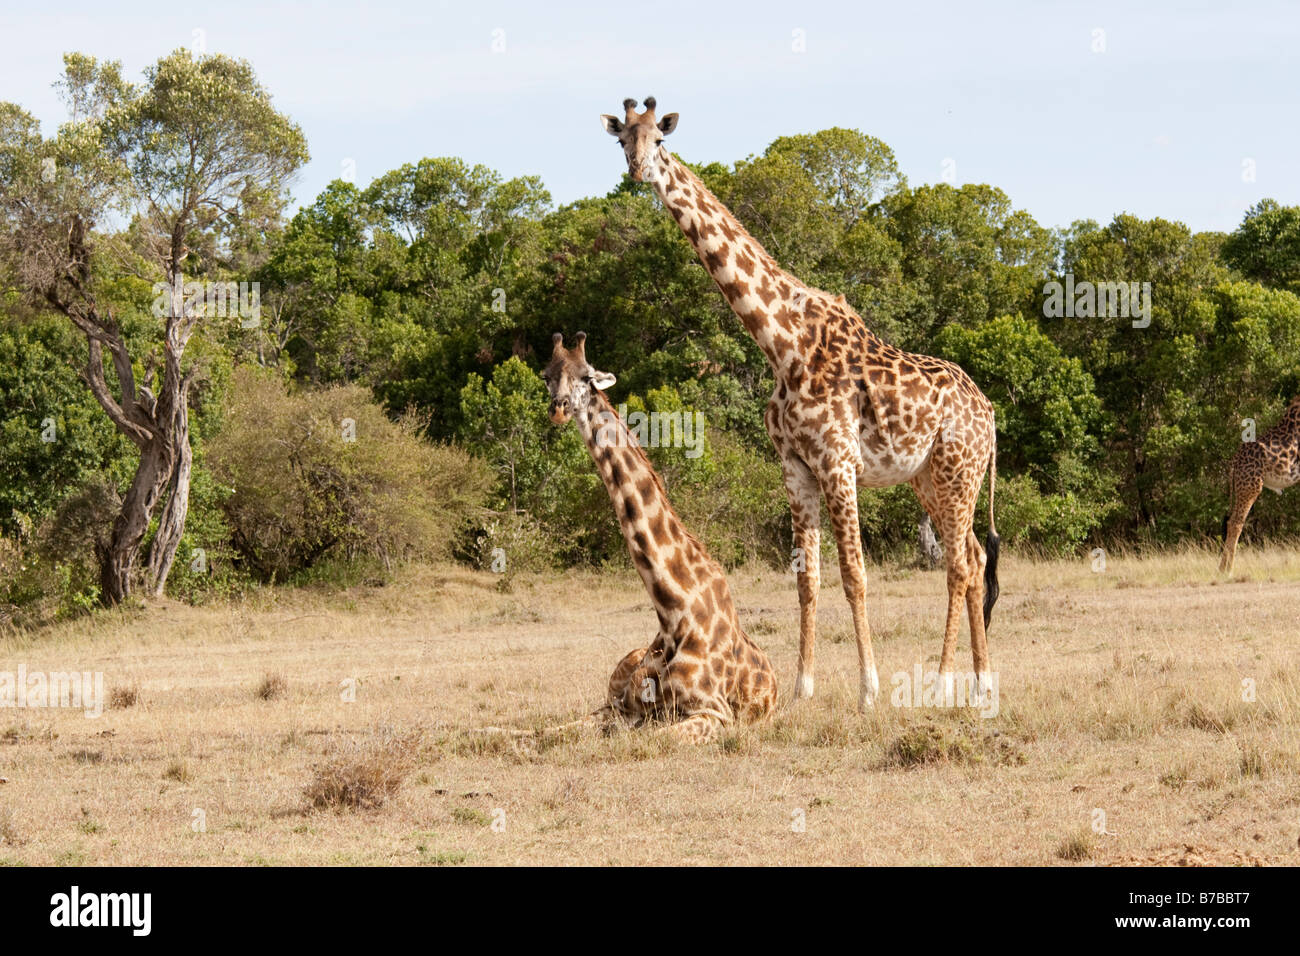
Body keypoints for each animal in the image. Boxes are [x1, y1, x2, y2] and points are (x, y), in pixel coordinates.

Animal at [535, 332, 769, 743]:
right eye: (547, 375)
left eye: (587, 376)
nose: (559, 409)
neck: (673, 610)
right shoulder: (622, 708)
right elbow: (544, 733)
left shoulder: (715, 713)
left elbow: (647, 739)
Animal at [603, 98, 998, 712]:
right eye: (624, 139)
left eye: (660, 141)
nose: (639, 171)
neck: (780, 343)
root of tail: (991, 413)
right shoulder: (795, 467)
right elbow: (806, 580)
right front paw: (801, 688)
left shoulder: (838, 461)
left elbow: (854, 575)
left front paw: (868, 692)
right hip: (929, 478)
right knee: (976, 558)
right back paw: (979, 684)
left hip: (959, 469)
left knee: (957, 564)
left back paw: (939, 682)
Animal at [1216, 395, 1300, 572]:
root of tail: (1234, 462)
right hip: (1250, 487)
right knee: (1235, 523)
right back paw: (1227, 570)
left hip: (1243, 487)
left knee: (1231, 521)